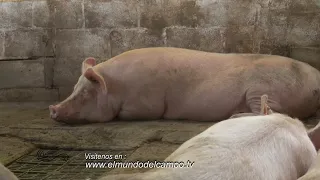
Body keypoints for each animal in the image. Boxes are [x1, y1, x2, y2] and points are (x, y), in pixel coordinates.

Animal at [48, 47, 320, 124]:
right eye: (74, 88)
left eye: (85, 92)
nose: (52, 108)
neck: (117, 87)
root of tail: (316, 79)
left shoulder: (147, 104)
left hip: (263, 90)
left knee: (271, 113)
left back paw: (233, 117)